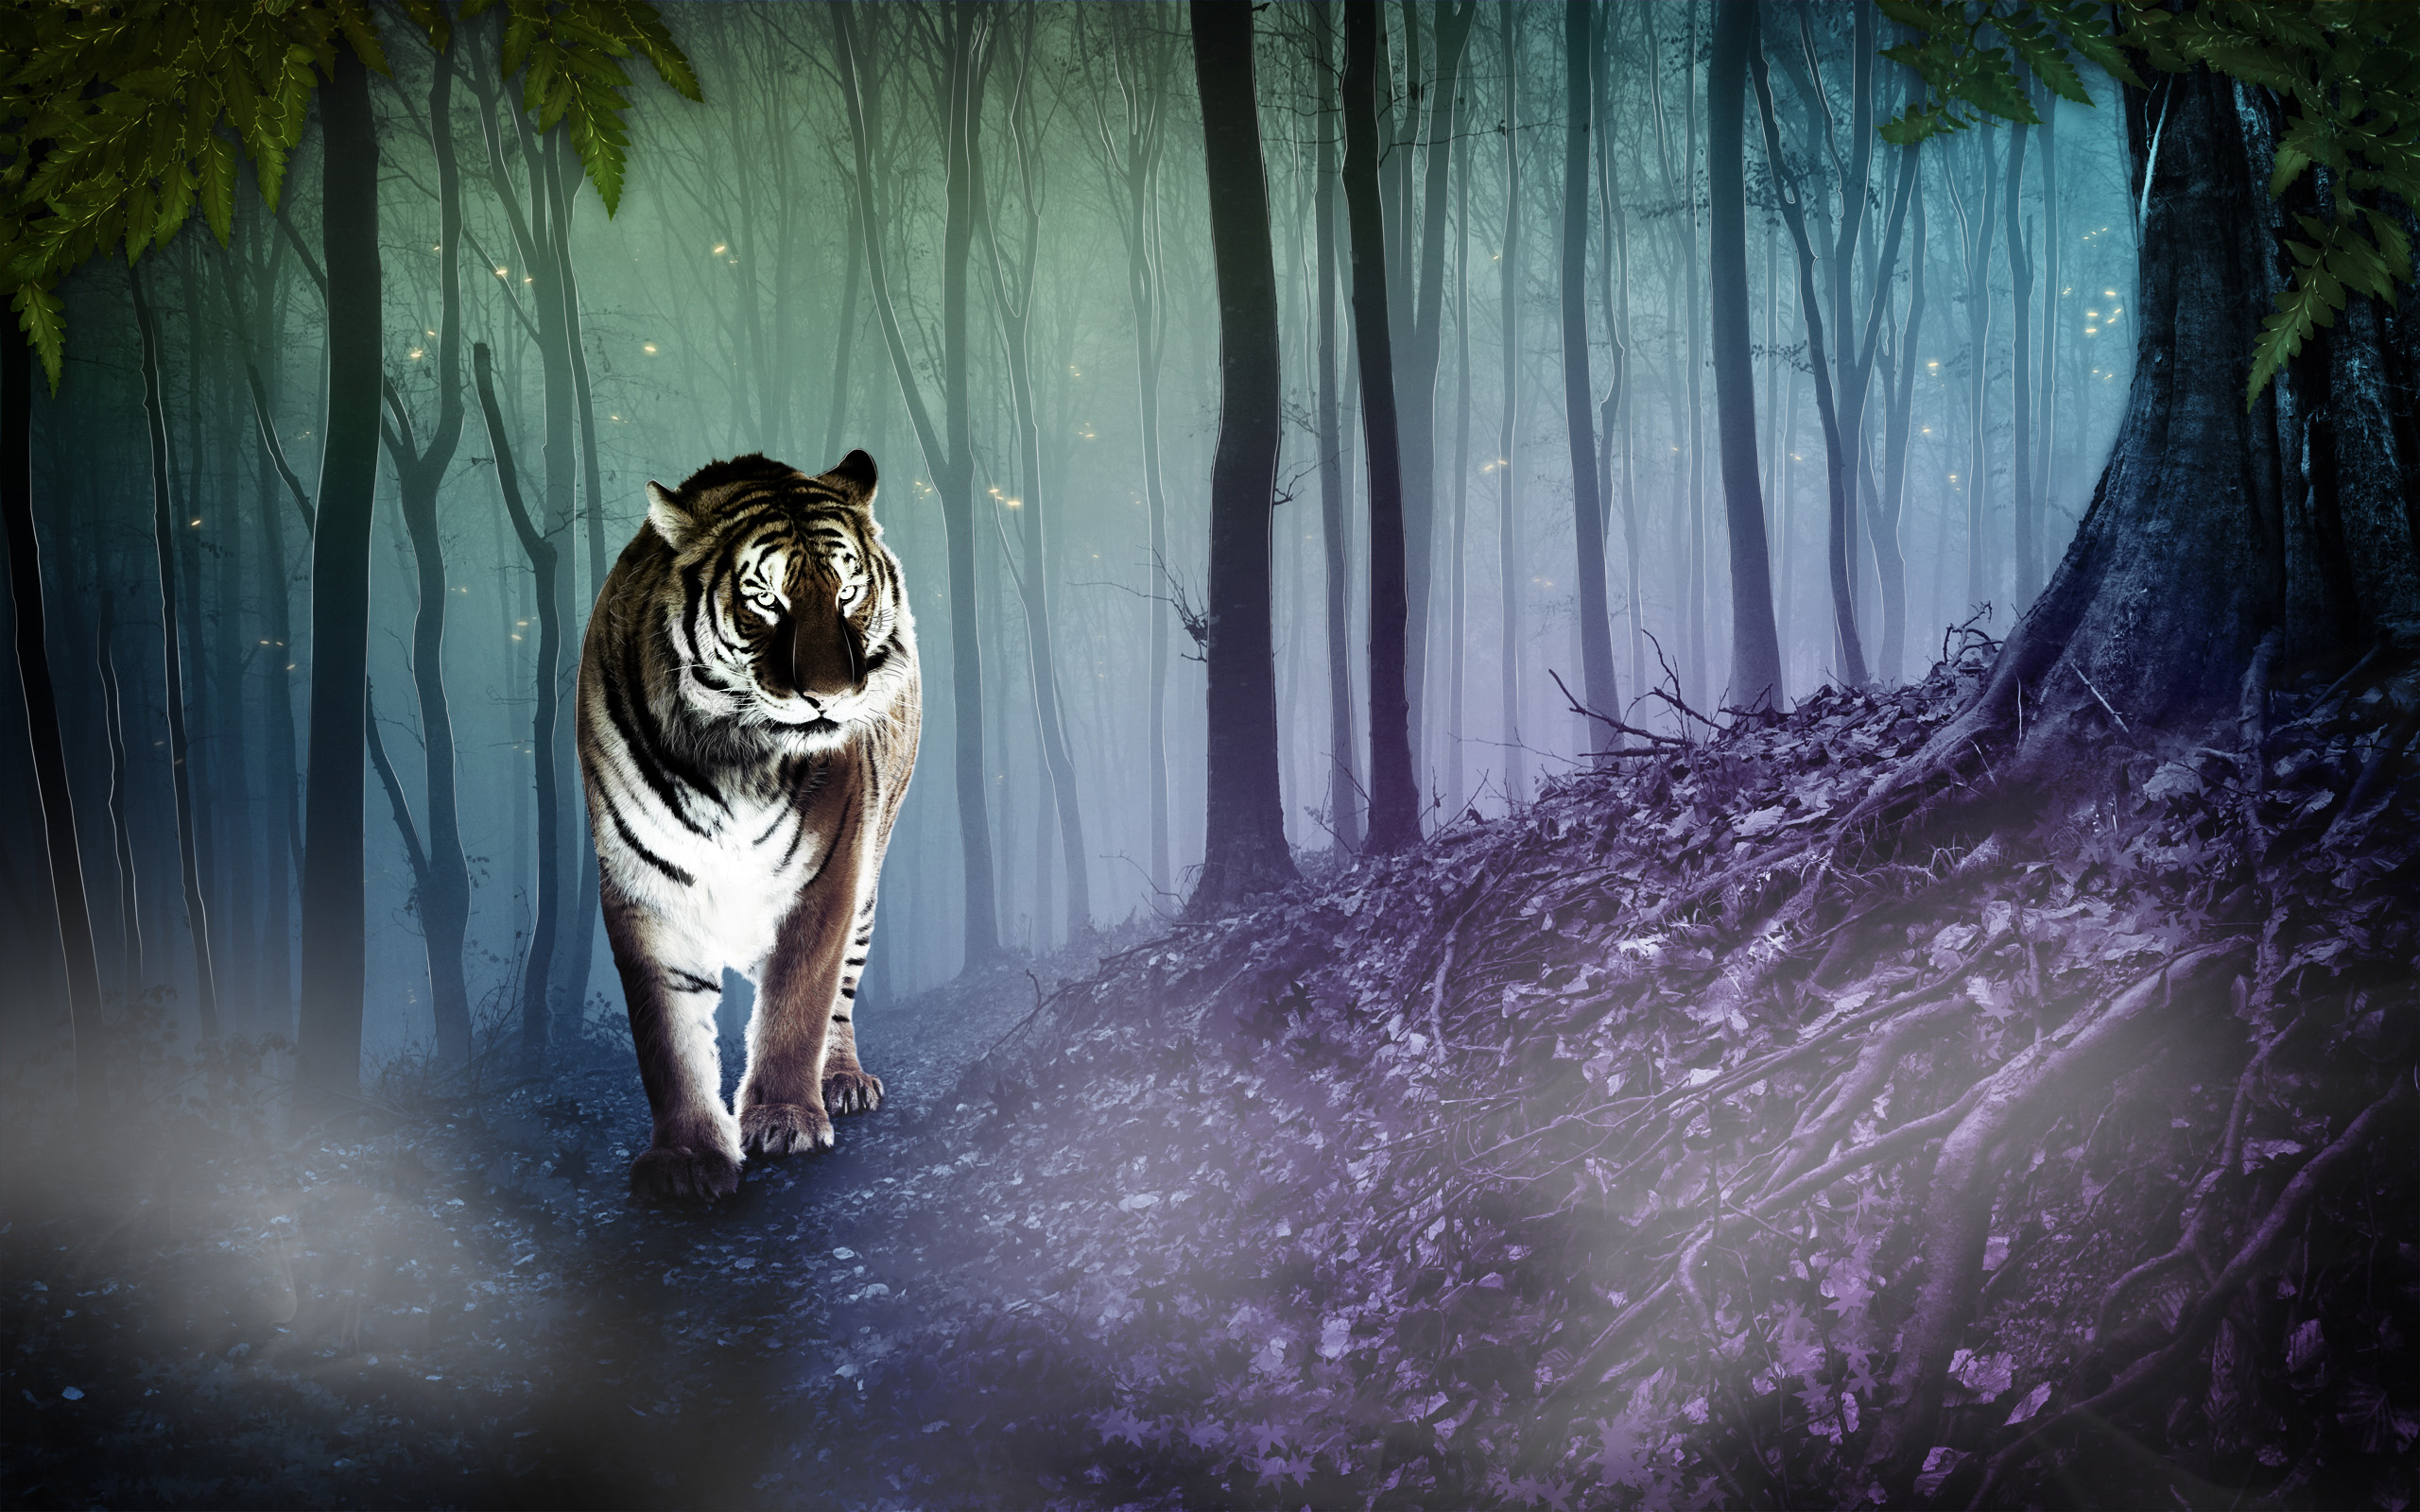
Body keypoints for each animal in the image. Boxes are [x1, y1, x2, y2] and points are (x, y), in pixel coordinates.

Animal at [575, 449, 919, 1204]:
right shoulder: (643, 883)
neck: (732, 758)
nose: (830, 697)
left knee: (841, 994)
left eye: (849, 590)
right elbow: (667, 1035)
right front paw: (685, 1156)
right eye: (765, 598)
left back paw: (842, 1081)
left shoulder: (828, 872)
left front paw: (785, 1120)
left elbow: (799, 1000)